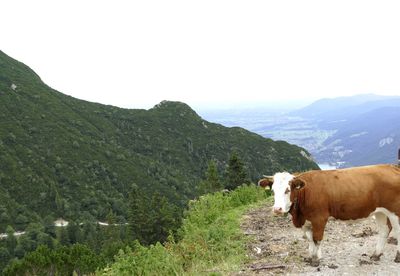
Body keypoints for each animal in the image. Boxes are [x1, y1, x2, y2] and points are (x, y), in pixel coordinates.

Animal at [260, 165, 400, 266]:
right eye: (273, 191)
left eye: (287, 190)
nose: (277, 209)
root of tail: (391, 167)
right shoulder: (306, 220)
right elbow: (309, 238)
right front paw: (311, 256)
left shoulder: (319, 218)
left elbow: (317, 238)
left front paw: (316, 260)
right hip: (380, 211)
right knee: (384, 230)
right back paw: (376, 255)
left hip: (394, 211)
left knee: (397, 231)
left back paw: (397, 257)